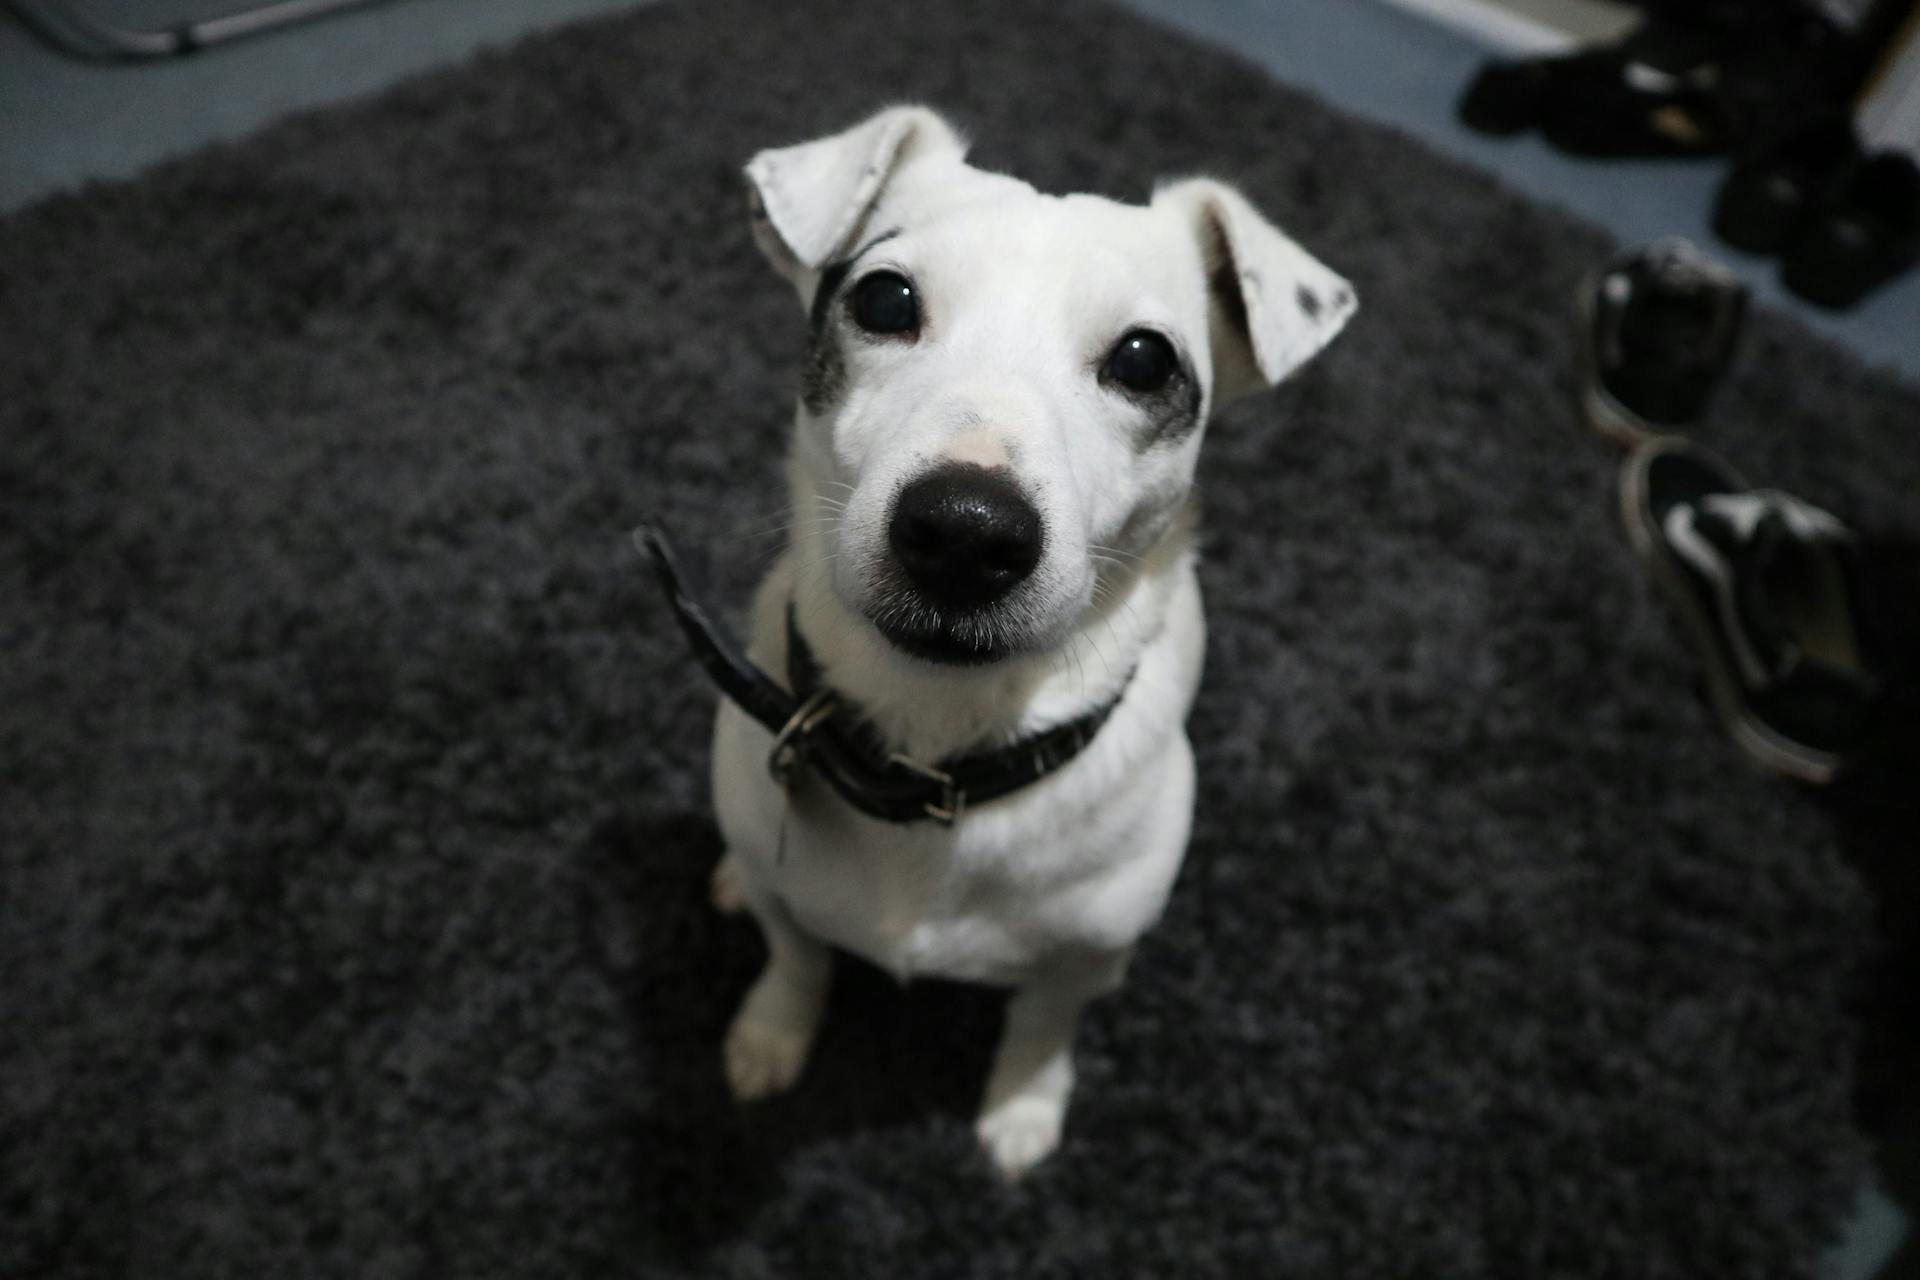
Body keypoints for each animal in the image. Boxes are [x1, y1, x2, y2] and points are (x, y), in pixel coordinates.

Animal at [695, 107, 1351, 1182]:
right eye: (884, 298)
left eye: (1144, 359)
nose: (966, 531)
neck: (938, 747)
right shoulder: (784, 885)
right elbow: (797, 959)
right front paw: (771, 1033)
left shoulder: (1090, 953)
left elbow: (1044, 1026)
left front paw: (1022, 1109)